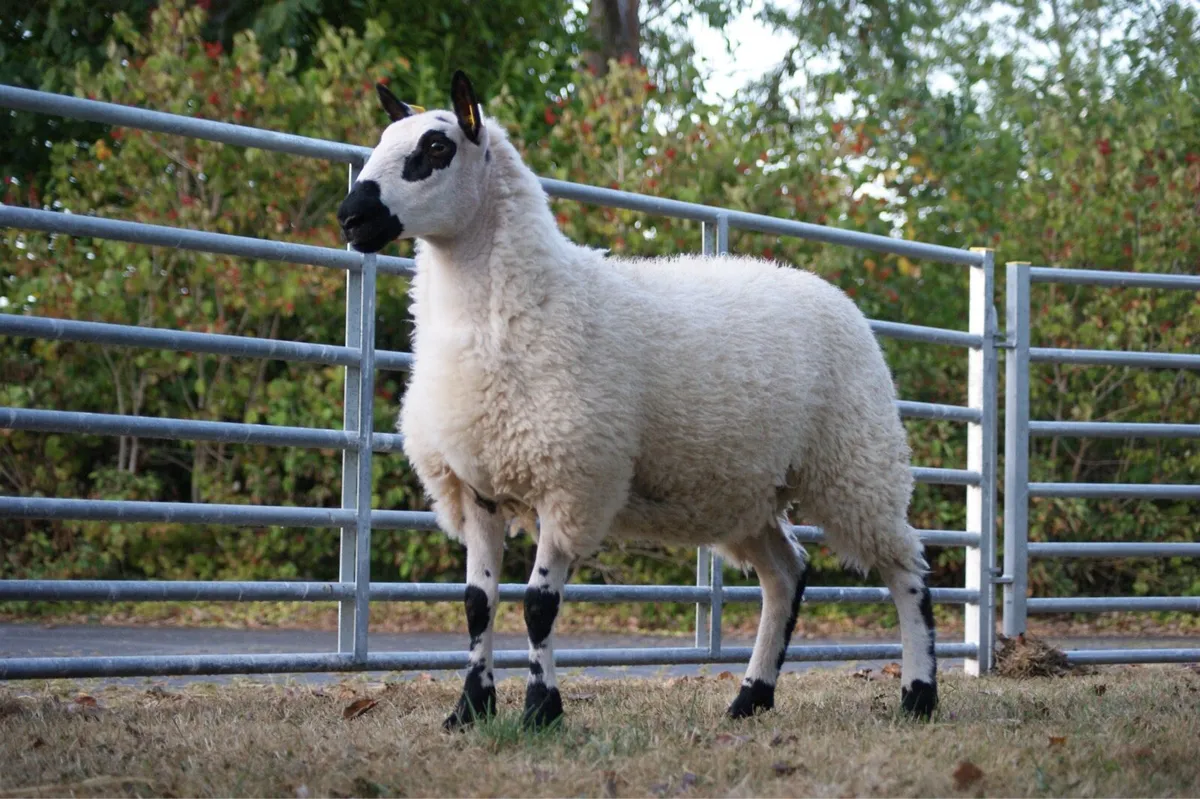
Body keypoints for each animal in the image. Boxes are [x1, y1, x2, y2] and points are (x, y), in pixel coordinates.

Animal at [337, 71, 939, 730]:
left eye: (436, 148)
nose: (351, 217)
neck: (527, 305)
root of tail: (831, 291)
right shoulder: (477, 484)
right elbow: (477, 604)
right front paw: (469, 709)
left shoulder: (574, 480)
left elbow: (538, 607)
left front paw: (541, 711)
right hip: (745, 490)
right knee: (786, 575)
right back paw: (749, 699)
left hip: (857, 461)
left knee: (907, 569)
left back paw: (919, 696)